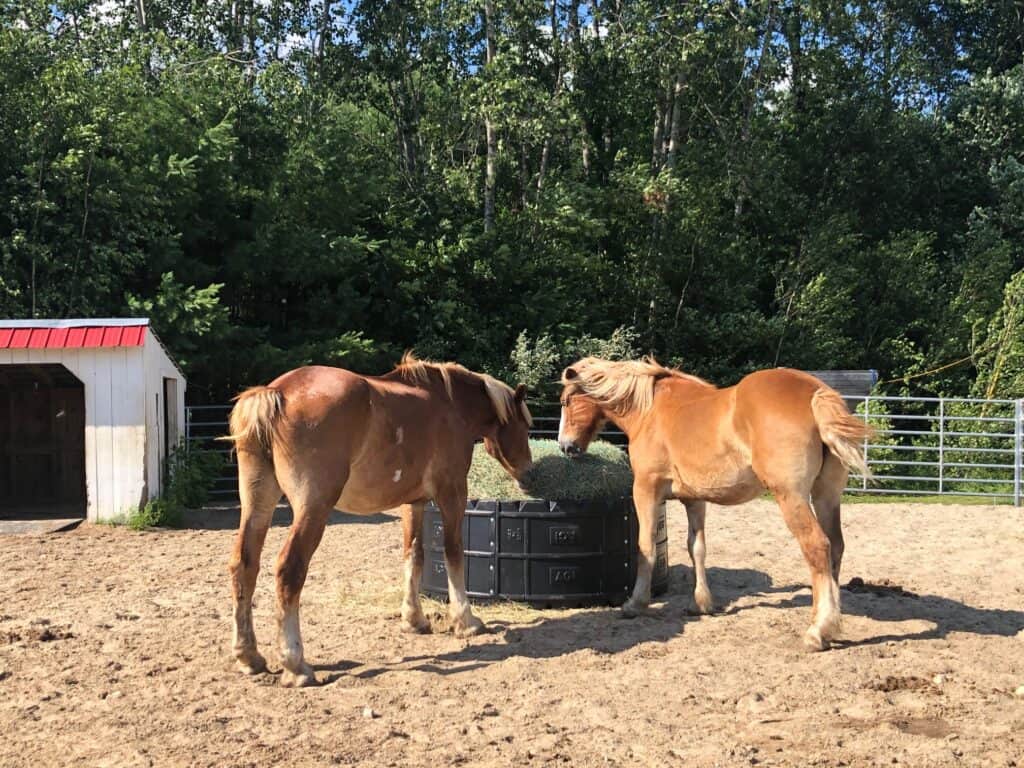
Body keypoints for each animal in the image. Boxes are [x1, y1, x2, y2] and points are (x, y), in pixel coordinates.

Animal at [222, 354, 528, 684]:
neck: (449, 403)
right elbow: (453, 553)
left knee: (244, 565)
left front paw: (414, 619)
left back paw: (249, 655)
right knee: (289, 569)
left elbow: (414, 555)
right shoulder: (452, 493)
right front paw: (466, 620)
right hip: (313, 508)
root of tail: (278, 391)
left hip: (257, 502)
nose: (528, 471)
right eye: (525, 425)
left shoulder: (413, 503)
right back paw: (295, 663)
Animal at [561, 360, 872, 651]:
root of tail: (814, 391)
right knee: (836, 547)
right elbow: (696, 548)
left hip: (791, 497)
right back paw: (831, 621)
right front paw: (701, 604)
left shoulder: (646, 490)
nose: (566, 446)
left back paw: (818, 631)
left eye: (566, 401)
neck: (649, 409)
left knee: (817, 547)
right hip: (825, 496)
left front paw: (635, 604)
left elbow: (646, 546)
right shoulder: (694, 499)